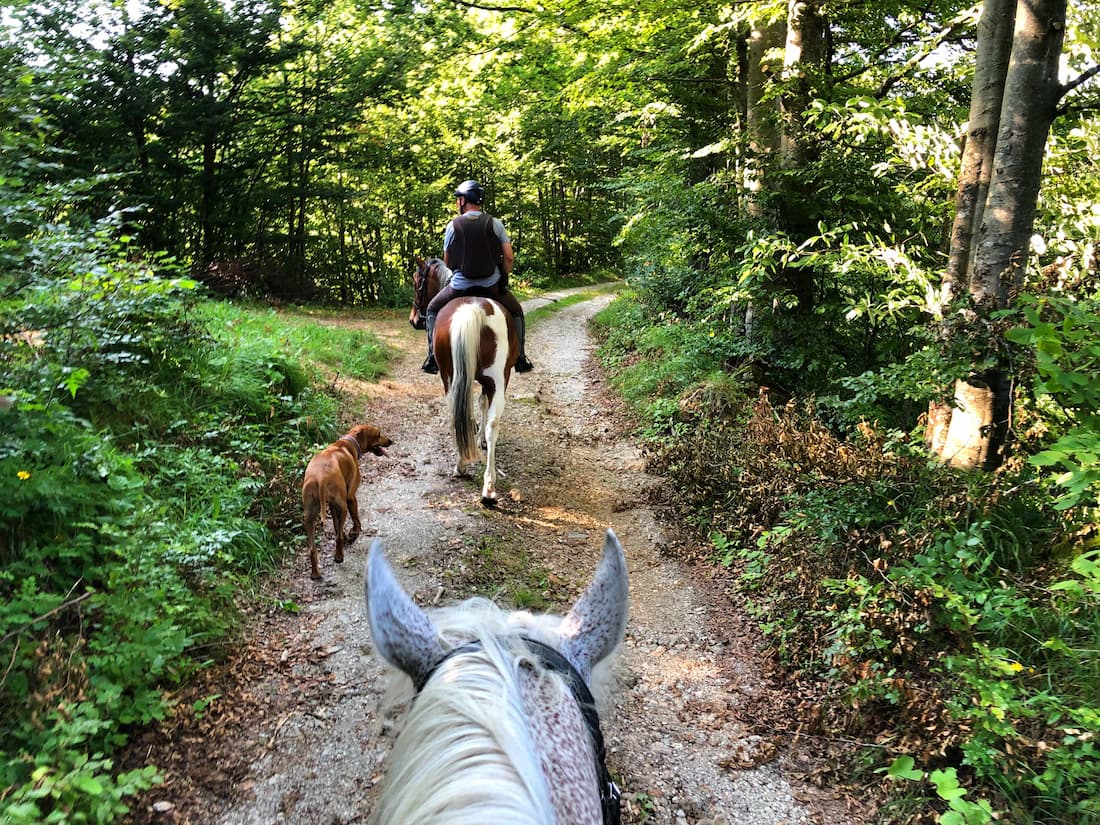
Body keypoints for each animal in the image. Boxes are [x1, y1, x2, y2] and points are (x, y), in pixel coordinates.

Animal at [301, 426, 391, 580]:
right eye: (378, 434)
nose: (390, 441)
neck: (348, 443)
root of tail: (320, 477)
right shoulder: (350, 497)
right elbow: (355, 519)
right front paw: (355, 532)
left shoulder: (332, 505)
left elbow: (337, 525)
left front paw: (345, 532)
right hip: (342, 505)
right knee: (338, 538)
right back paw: (339, 556)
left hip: (309, 515)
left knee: (312, 548)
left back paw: (315, 573)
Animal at [411, 258, 517, 508]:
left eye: (416, 281)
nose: (413, 320)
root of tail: (475, 309)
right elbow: (482, 404)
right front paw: (480, 441)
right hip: (498, 378)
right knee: (491, 423)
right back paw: (487, 487)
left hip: (452, 376)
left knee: (459, 414)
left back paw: (464, 469)